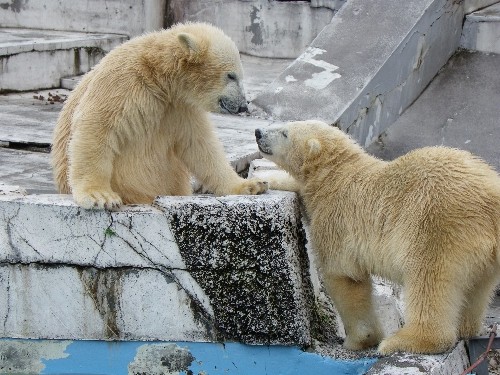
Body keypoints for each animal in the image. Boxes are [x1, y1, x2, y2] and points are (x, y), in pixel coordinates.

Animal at [51, 22, 268, 210]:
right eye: (231, 76)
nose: (243, 105)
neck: (157, 75)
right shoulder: (121, 82)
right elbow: (96, 127)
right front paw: (100, 196)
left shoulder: (178, 107)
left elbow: (200, 145)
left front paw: (252, 185)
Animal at [256, 119, 500, 356]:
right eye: (285, 124)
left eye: (285, 132)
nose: (258, 133)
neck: (336, 173)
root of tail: (491, 198)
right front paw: (263, 180)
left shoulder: (336, 217)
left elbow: (345, 276)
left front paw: (359, 340)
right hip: (483, 256)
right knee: (476, 287)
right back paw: (465, 327)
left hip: (437, 229)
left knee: (428, 281)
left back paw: (404, 341)